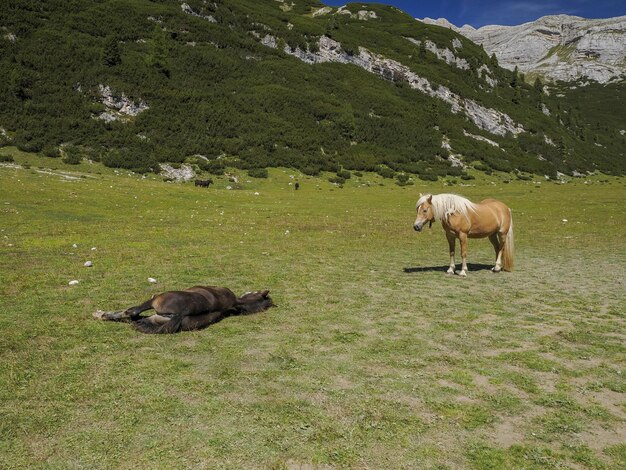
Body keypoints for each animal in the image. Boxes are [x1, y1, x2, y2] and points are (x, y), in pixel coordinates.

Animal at [93, 286, 272, 334]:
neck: (236, 302)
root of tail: (180, 314)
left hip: (155, 300)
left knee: (131, 313)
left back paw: (100, 314)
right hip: (153, 318)